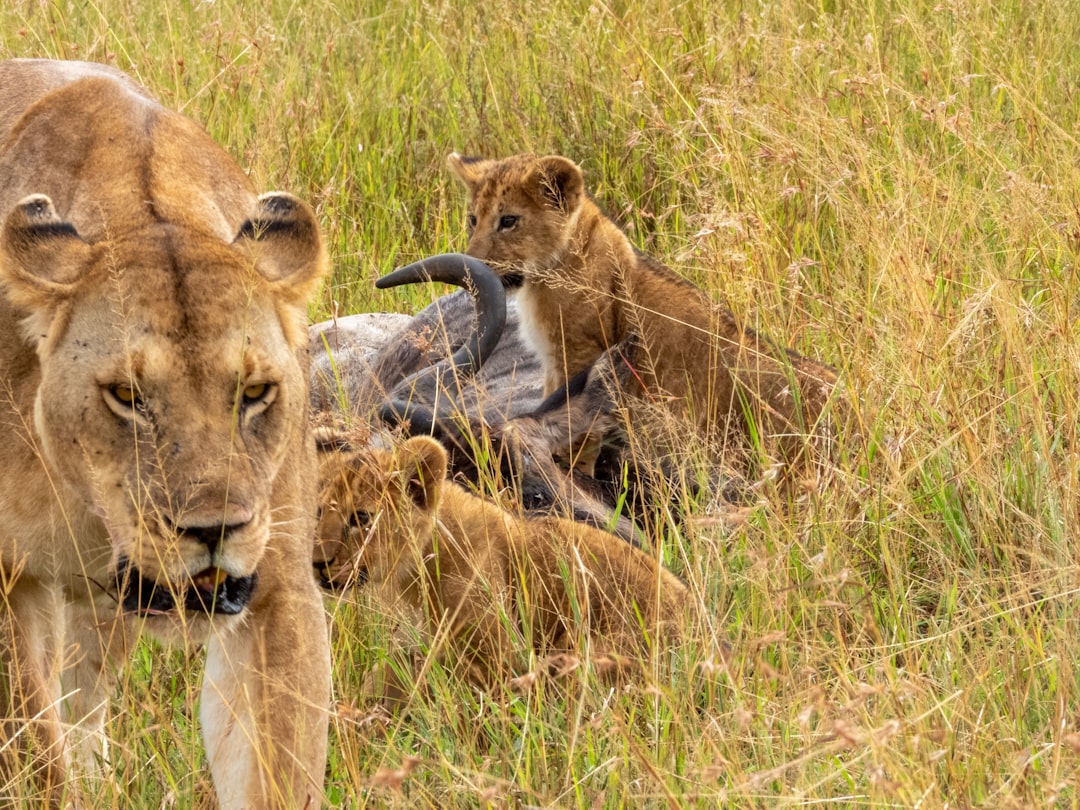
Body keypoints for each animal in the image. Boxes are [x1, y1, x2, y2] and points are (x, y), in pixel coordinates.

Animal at [0, 59, 329, 808]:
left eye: (254, 393)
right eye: (127, 396)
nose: (213, 531)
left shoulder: (277, 585)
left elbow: (278, 765)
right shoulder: (5, 579)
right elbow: (34, 758)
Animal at [447, 152, 843, 474]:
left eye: (509, 220)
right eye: (473, 219)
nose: (470, 265)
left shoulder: (579, 352)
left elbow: (576, 424)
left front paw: (570, 468)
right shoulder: (552, 361)